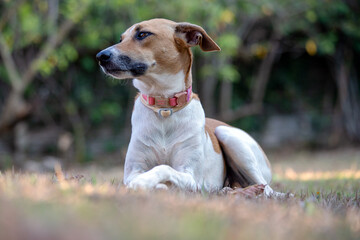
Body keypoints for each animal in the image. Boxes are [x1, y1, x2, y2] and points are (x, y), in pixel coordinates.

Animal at [95, 18, 284, 195]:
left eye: (142, 34)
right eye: (121, 38)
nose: (100, 56)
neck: (164, 107)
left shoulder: (191, 177)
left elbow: (163, 168)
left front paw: (145, 182)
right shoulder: (133, 170)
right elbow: (148, 177)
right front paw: (155, 186)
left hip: (229, 136)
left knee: (267, 189)